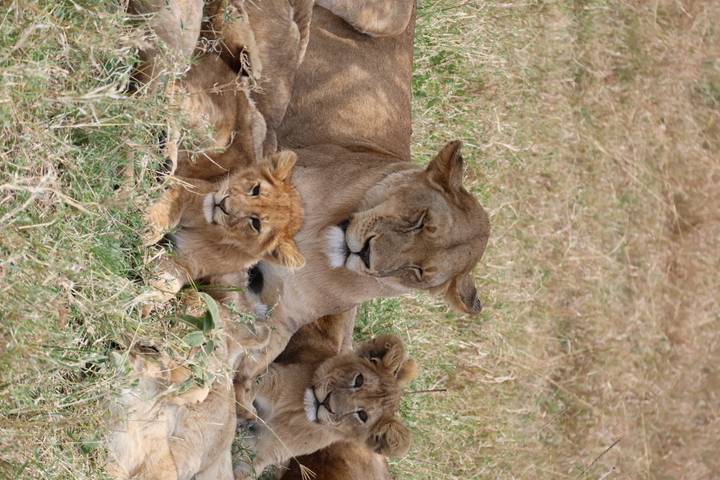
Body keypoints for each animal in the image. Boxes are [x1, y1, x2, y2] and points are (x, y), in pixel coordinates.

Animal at [144, 150, 304, 309]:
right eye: (256, 190)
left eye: (256, 224)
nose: (223, 204)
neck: (207, 229)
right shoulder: (192, 188)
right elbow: (175, 195)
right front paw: (150, 225)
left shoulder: (186, 261)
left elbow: (165, 284)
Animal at [234, 333, 417, 477]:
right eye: (359, 380)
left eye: (363, 415)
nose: (327, 402)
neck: (295, 413)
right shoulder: (271, 377)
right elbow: (250, 382)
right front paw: (243, 408)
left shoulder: (266, 454)